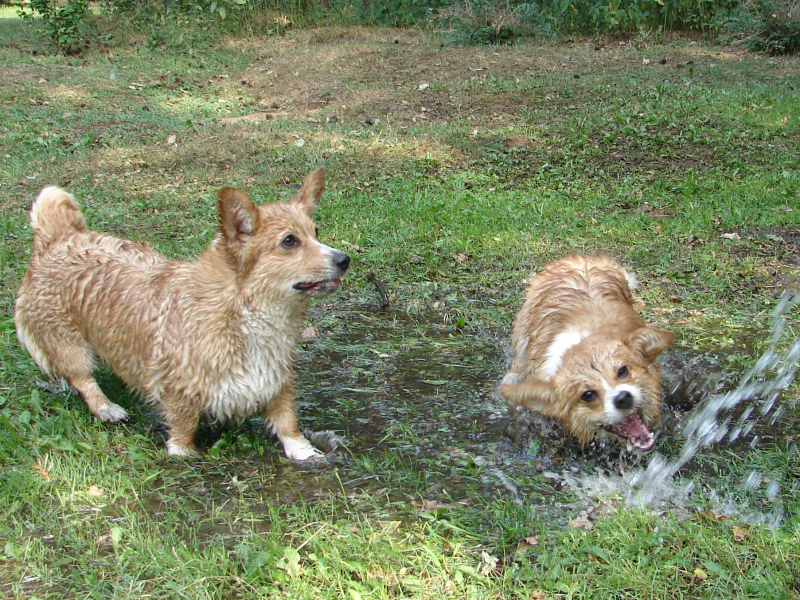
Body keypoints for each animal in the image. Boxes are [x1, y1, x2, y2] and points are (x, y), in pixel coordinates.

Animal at [15, 169, 350, 460]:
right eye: (289, 241)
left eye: (316, 232)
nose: (344, 259)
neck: (246, 308)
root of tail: (57, 238)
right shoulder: (179, 389)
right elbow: (184, 424)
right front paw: (183, 452)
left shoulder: (276, 379)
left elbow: (287, 421)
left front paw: (305, 452)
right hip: (68, 343)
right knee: (81, 378)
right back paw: (107, 408)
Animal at [504, 253, 672, 450]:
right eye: (588, 395)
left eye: (623, 370)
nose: (623, 398)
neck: (578, 346)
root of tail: (578, 258)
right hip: (522, 332)